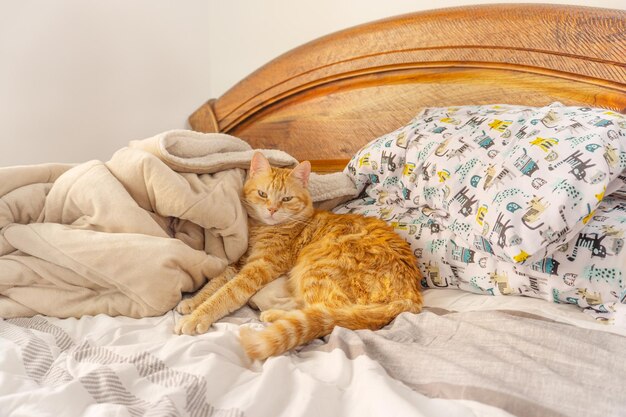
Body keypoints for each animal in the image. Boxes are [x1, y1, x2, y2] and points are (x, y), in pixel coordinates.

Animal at [173, 151, 422, 360]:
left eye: (286, 199)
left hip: (315, 266)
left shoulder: (257, 269)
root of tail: (412, 296)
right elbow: (215, 283)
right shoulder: (239, 263)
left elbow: (226, 294)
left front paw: (197, 317)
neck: (264, 229)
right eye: (263, 194)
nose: (272, 210)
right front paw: (192, 303)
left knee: (328, 313)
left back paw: (274, 316)